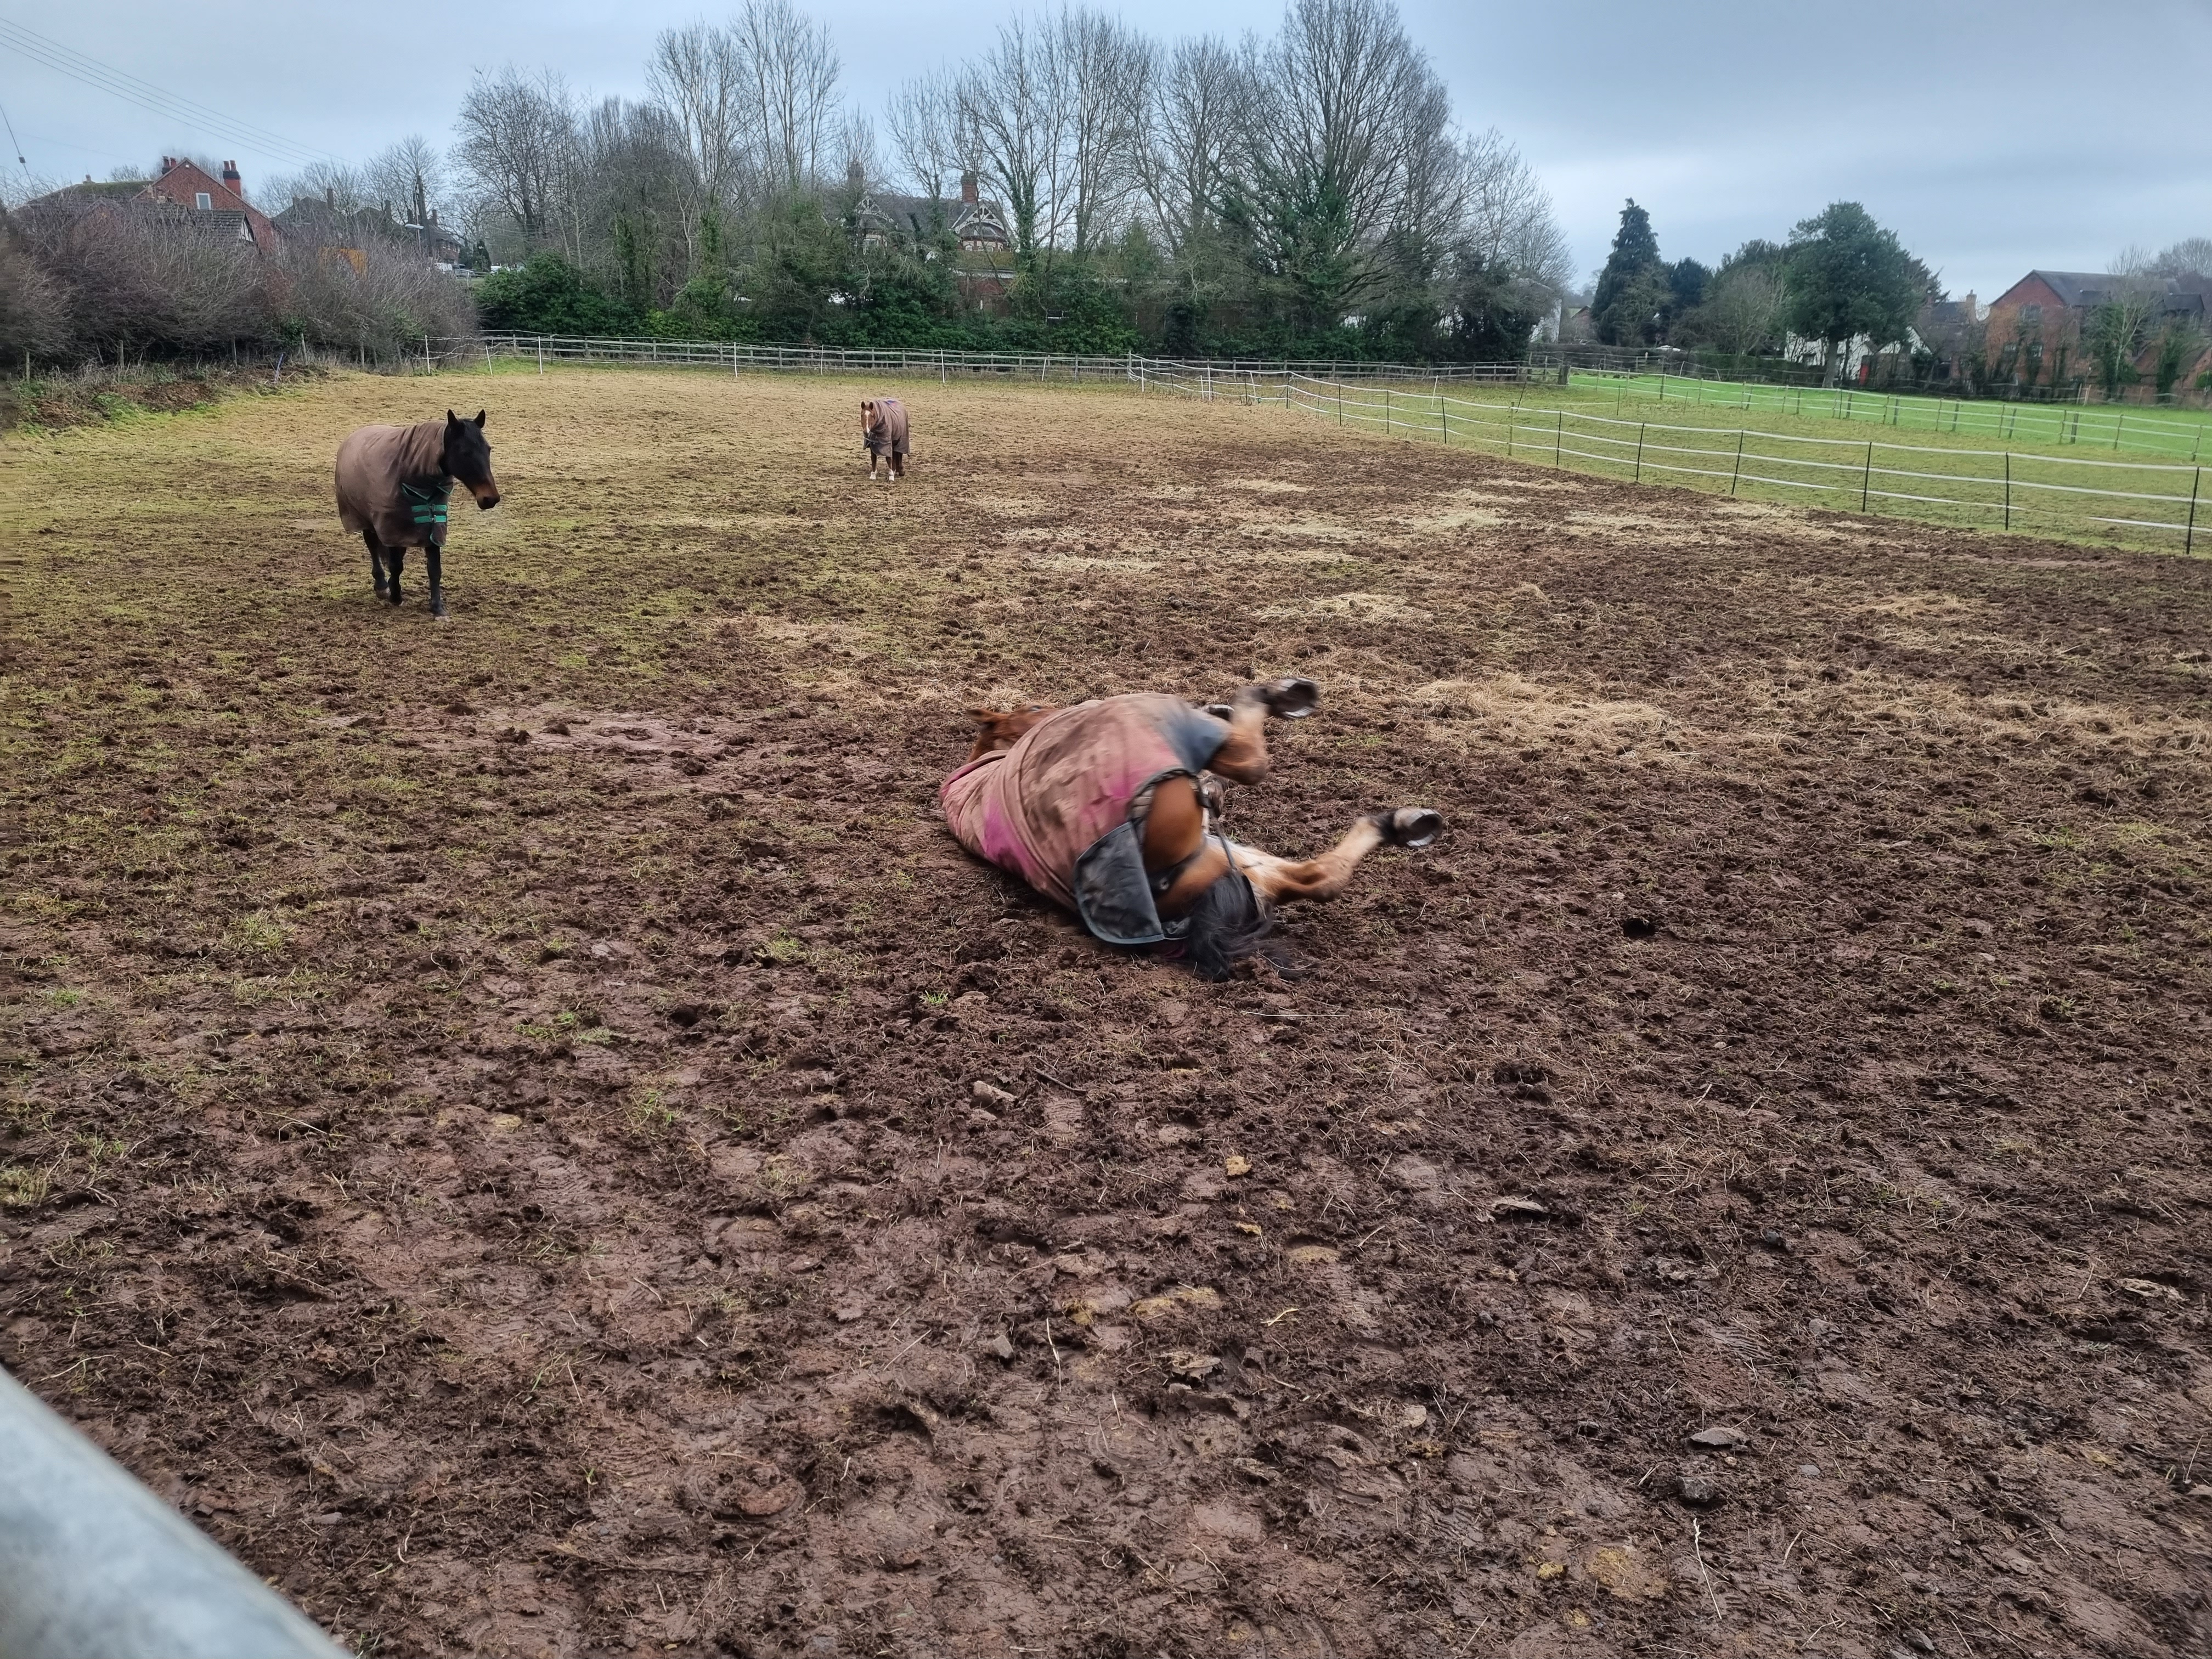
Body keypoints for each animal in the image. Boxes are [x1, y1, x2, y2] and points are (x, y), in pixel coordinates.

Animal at [331, 413, 502, 619]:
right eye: (465, 452)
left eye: (488, 449)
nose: (490, 498)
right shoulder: (392, 527)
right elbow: (396, 565)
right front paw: (396, 596)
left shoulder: (433, 524)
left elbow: (434, 569)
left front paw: (437, 608)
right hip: (366, 519)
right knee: (373, 546)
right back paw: (382, 586)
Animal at [854, 400, 907, 484]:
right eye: (862, 415)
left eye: (872, 416)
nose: (866, 432)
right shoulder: (872, 444)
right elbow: (874, 458)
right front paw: (873, 475)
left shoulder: (887, 443)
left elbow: (889, 459)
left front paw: (891, 477)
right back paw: (894, 470)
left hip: (901, 440)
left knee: (900, 453)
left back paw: (900, 471)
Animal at [942, 681, 1442, 982]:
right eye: (1032, 707)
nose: (1064, 705)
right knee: (1252, 765)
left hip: (1241, 860)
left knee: (1320, 877)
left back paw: (1401, 824)